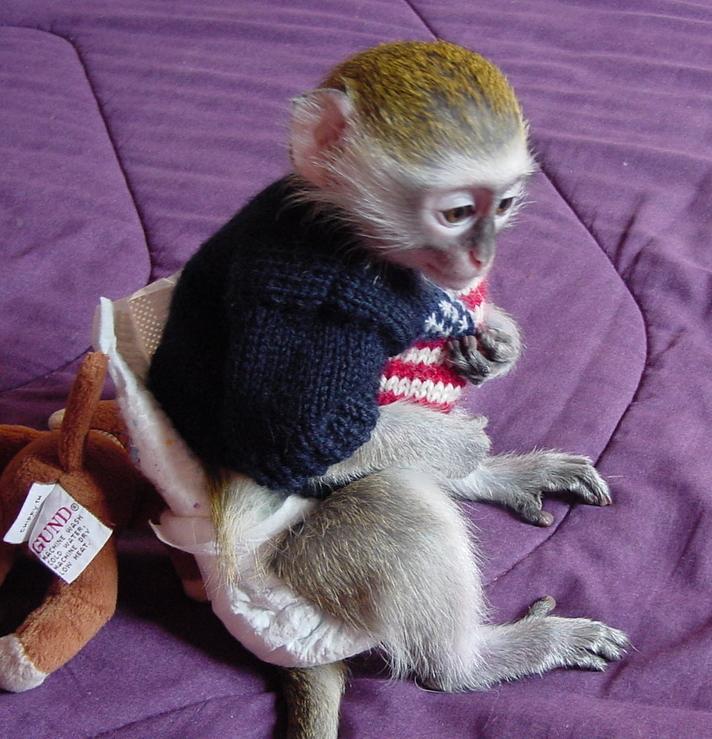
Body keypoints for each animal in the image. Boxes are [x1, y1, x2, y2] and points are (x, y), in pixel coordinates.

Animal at [145, 40, 629, 739]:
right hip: (296, 573)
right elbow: (290, 437)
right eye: (457, 213)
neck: (347, 232)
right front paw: (458, 445)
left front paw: (496, 342)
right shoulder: (305, 296)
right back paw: (474, 662)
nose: (481, 257)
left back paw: (500, 477)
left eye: (505, 205)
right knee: (390, 501)